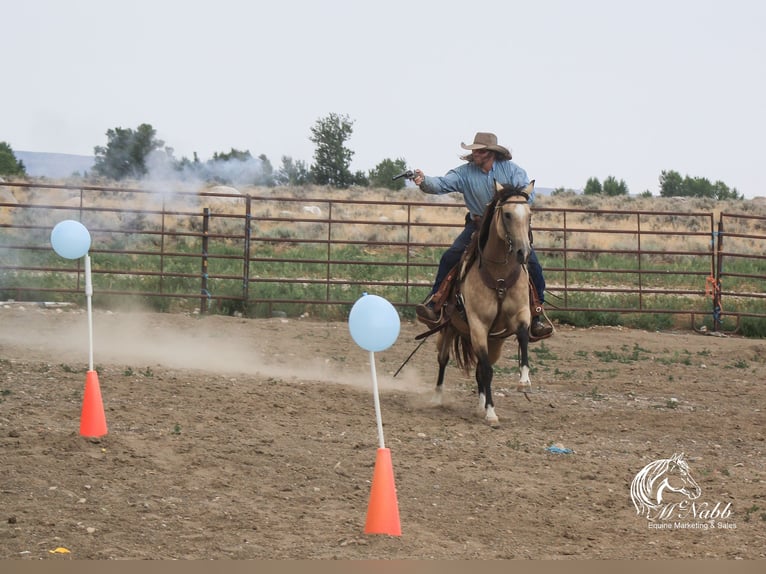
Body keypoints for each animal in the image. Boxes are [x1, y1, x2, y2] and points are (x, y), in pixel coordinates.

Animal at [432, 182, 536, 426]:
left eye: (529, 215)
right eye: (507, 214)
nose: (523, 252)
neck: (499, 276)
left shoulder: (521, 313)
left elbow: (523, 337)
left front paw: (524, 381)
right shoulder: (478, 325)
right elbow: (487, 371)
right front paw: (491, 413)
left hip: (494, 341)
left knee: (481, 367)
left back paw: (479, 406)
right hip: (450, 327)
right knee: (444, 358)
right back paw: (438, 397)